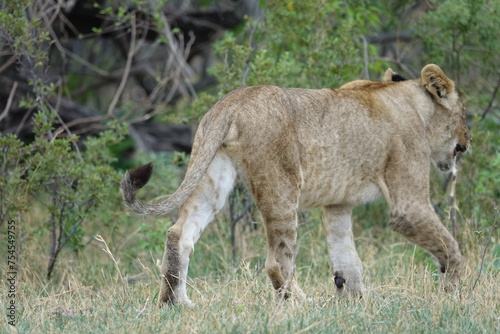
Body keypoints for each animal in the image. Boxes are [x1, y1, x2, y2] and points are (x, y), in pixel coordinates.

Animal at [122, 64, 472, 306]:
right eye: (465, 114)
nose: (469, 141)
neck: (414, 107)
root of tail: (233, 100)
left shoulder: (337, 203)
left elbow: (347, 259)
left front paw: (356, 303)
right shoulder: (408, 204)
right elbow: (452, 248)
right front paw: (451, 295)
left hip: (213, 175)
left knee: (179, 233)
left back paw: (176, 303)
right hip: (281, 186)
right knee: (277, 261)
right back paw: (302, 304)